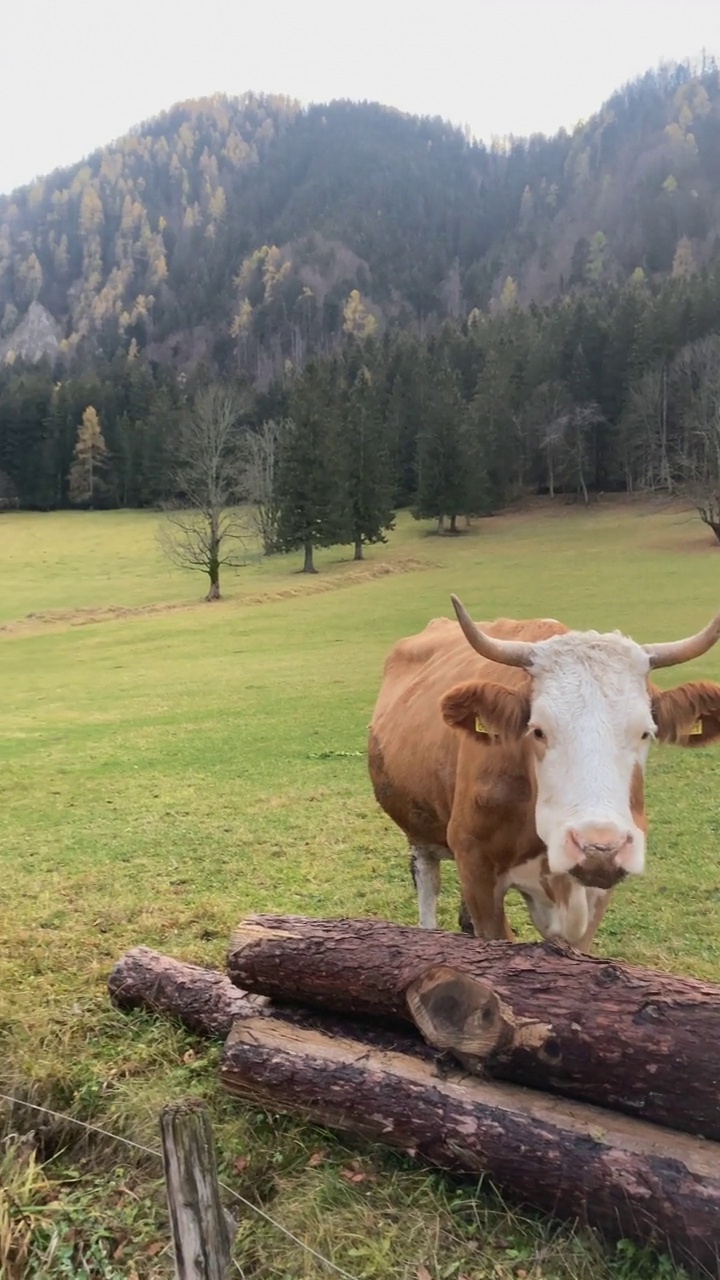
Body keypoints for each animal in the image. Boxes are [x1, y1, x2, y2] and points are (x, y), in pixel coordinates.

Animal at [366, 599, 717, 952]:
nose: (598, 848)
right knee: (427, 881)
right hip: (419, 832)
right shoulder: (477, 869)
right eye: (537, 730)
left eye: (646, 732)